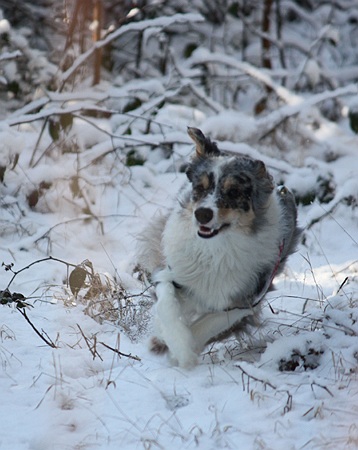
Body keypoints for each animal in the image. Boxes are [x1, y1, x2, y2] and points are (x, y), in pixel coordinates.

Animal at [138, 127, 300, 370]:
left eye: (233, 192)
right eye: (200, 187)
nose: (202, 214)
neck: (215, 249)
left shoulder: (246, 299)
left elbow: (208, 325)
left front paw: (184, 354)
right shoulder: (173, 273)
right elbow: (167, 306)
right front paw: (176, 343)